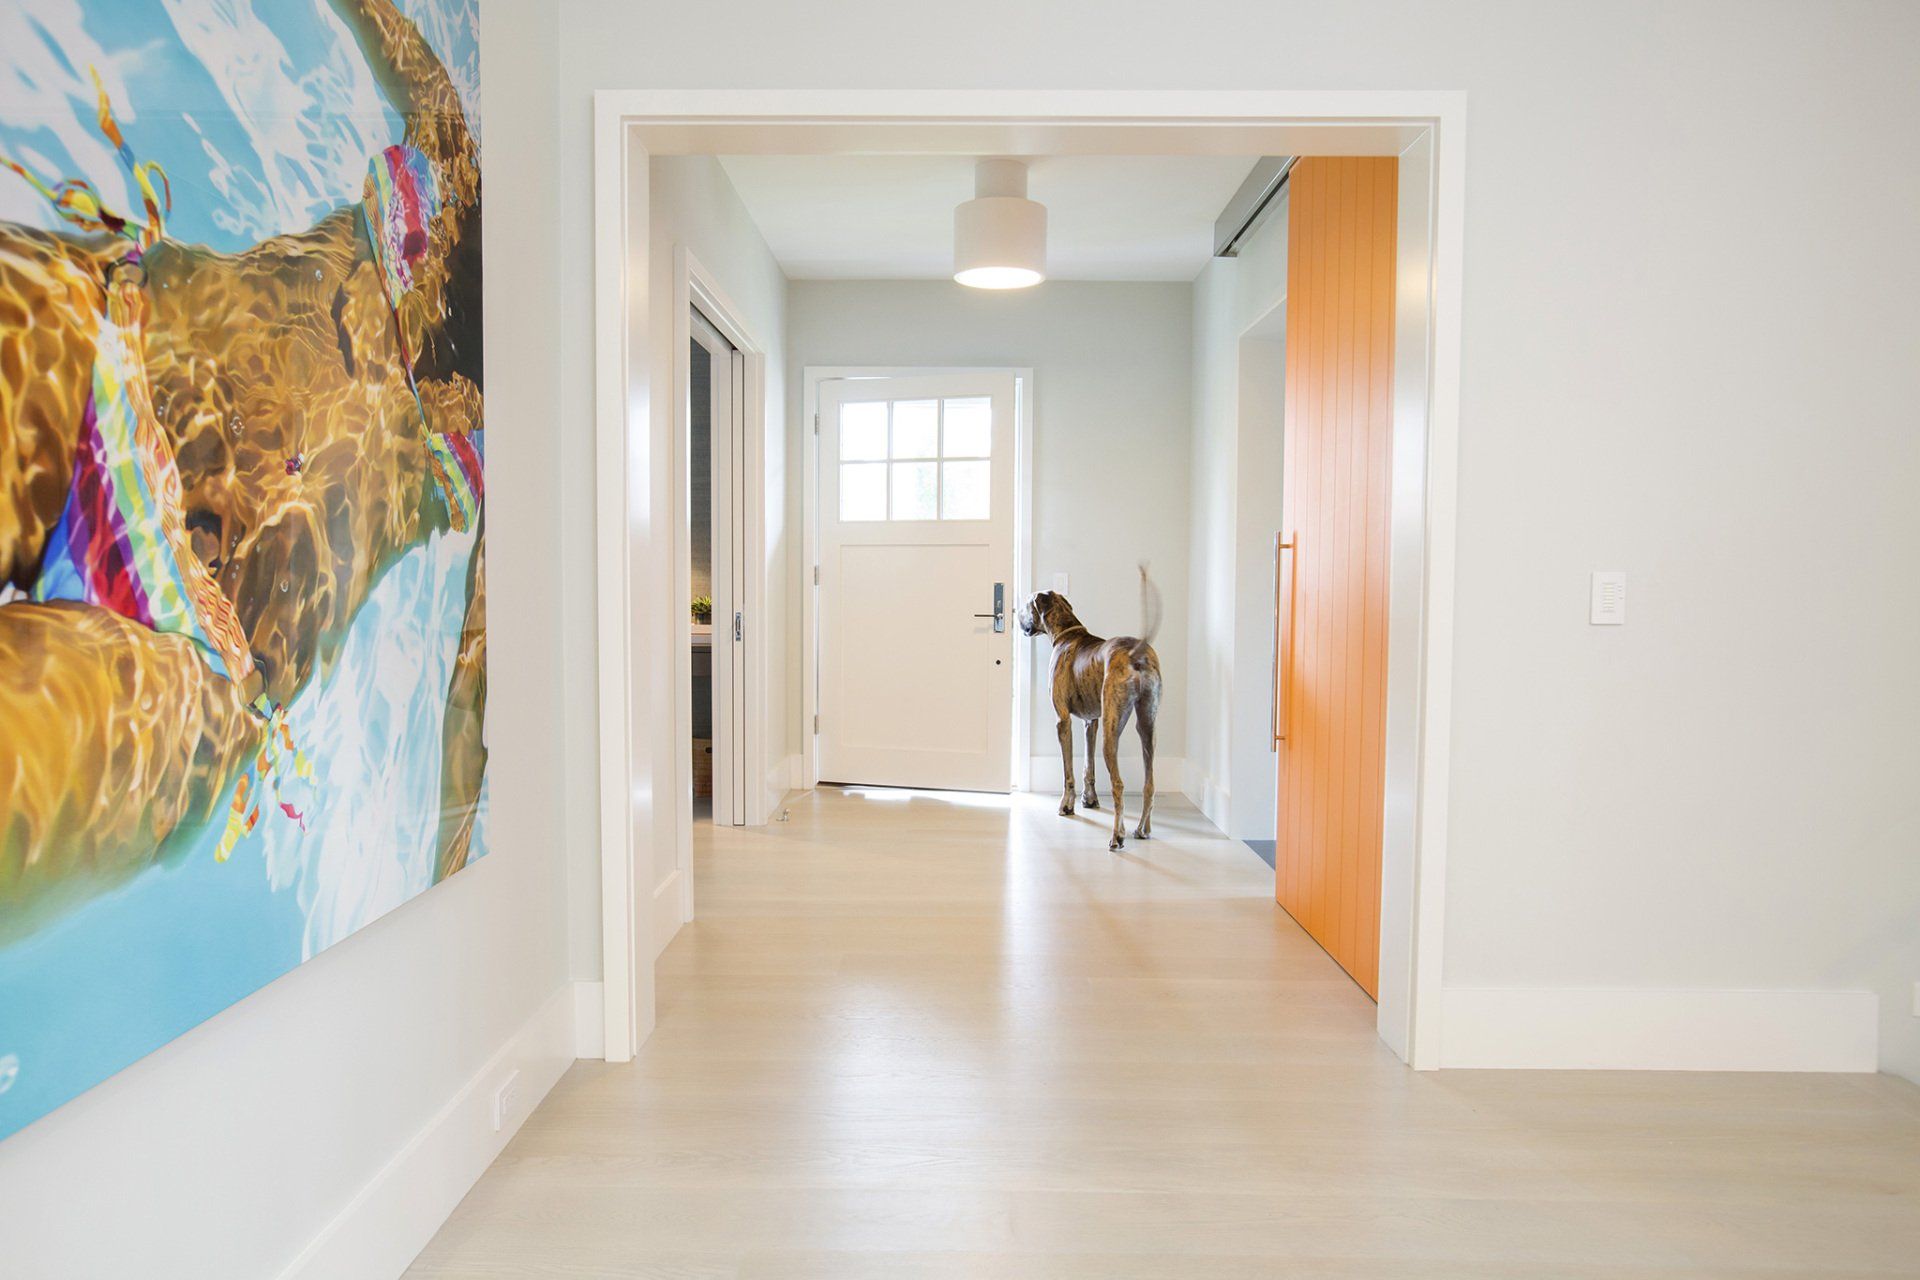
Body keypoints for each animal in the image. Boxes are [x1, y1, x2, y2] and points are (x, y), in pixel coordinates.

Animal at [1017, 566, 1162, 851]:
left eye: (1028, 604)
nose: (1016, 616)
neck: (1067, 633)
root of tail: (1137, 652)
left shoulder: (1063, 720)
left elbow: (1068, 772)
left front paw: (1067, 805)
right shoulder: (1090, 721)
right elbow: (1088, 764)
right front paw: (1090, 800)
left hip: (1112, 729)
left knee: (1118, 784)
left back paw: (1117, 836)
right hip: (1147, 727)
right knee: (1149, 783)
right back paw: (1143, 829)